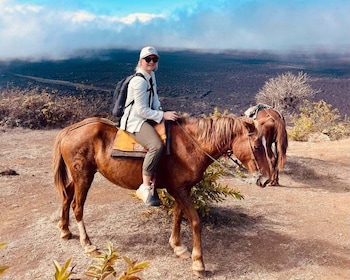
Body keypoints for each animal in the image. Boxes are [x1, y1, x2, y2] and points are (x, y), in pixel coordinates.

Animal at [52, 115, 270, 276]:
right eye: (257, 146)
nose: (266, 179)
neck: (190, 145)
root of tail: (70, 130)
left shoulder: (180, 189)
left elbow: (177, 216)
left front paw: (178, 247)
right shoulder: (180, 190)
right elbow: (195, 221)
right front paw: (198, 263)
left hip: (79, 177)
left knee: (66, 196)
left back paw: (65, 230)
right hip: (84, 176)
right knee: (77, 206)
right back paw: (88, 244)